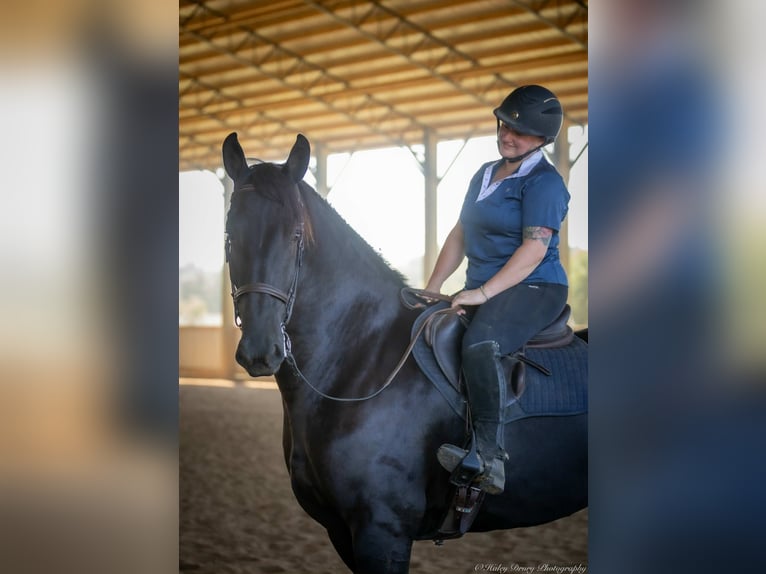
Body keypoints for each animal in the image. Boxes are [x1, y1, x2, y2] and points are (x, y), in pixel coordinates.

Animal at [221, 132, 587, 573]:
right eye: (229, 236)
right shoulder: (341, 531)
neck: (360, 358)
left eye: (295, 236)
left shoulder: (383, 530)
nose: (261, 350)